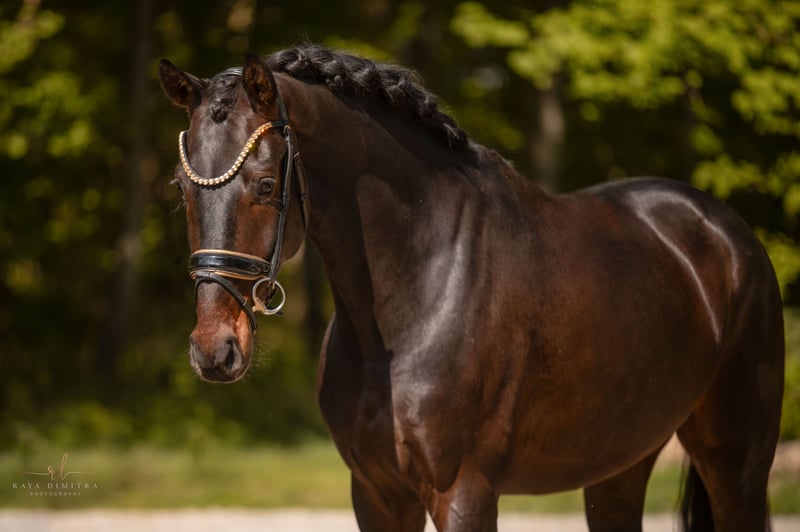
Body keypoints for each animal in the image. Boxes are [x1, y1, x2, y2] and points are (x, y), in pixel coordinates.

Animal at [158, 45, 784, 531]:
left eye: (266, 184)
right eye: (182, 189)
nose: (214, 350)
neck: (420, 293)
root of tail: (726, 232)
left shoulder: (464, 491)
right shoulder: (377, 495)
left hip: (736, 465)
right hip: (620, 465)